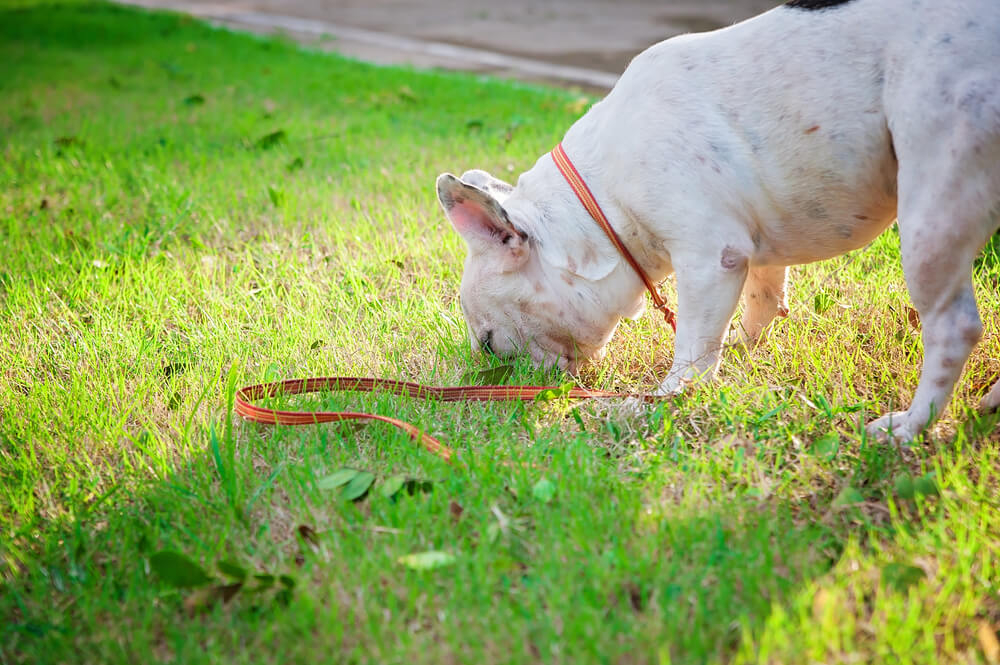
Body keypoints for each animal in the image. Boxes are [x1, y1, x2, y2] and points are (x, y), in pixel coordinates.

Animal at [436, 1, 1000, 446]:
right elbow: (762, 300)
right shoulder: (755, 246)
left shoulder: (710, 261)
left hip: (933, 203)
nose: (498, 378)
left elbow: (692, 345)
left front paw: (663, 398)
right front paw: (743, 354)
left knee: (951, 326)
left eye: (490, 342)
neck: (602, 195)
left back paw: (910, 427)